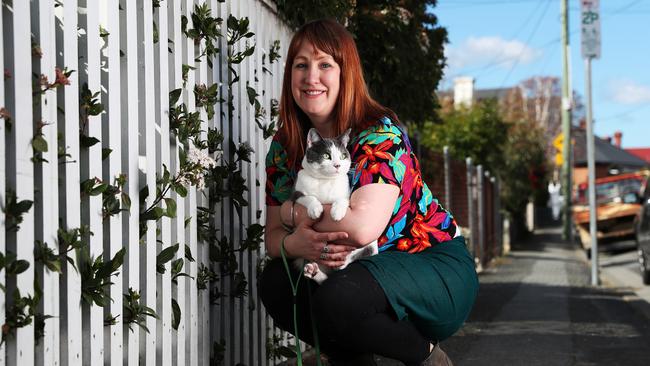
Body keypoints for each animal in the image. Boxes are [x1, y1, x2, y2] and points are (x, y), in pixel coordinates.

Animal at [292, 127, 378, 284]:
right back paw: (313, 271)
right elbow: (309, 197)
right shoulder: (295, 194)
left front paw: (337, 212)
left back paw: (341, 261)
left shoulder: (347, 194)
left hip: (370, 244)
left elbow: (342, 199)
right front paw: (315, 209)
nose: (337, 165)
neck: (325, 181)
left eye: (343, 156)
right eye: (326, 155)